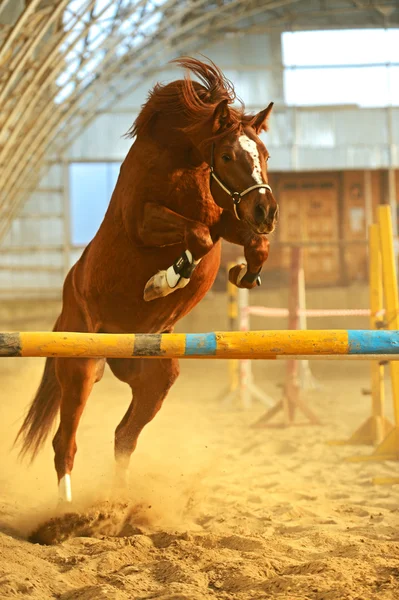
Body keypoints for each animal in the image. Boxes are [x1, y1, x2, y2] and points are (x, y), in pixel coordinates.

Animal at [14, 58, 278, 504]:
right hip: (80, 368)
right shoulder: (144, 222)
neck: (178, 159)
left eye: (264, 153)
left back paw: (122, 503)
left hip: (154, 377)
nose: (266, 211)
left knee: (124, 435)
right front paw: (164, 280)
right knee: (65, 444)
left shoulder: (227, 220)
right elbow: (196, 236)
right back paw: (67, 509)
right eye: (227, 155)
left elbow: (250, 243)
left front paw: (246, 273)